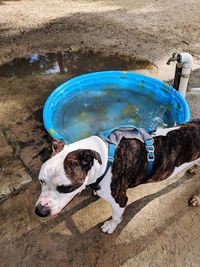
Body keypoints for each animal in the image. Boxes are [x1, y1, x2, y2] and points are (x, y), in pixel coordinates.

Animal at [35, 119, 200, 234]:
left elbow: (116, 216)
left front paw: (110, 226)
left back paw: (197, 198)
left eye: (65, 188)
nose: (40, 212)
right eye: (41, 181)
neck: (105, 159)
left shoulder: (120, 199)